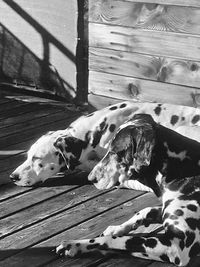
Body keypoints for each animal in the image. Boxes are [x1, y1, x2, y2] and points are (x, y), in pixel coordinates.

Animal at [55, 114, 200, 266]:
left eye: (115, 151)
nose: (90, 178)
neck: (183, 167)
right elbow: (145, 210)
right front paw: (117, 228)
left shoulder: (176, 246)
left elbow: (118, 241)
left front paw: (74, 245)